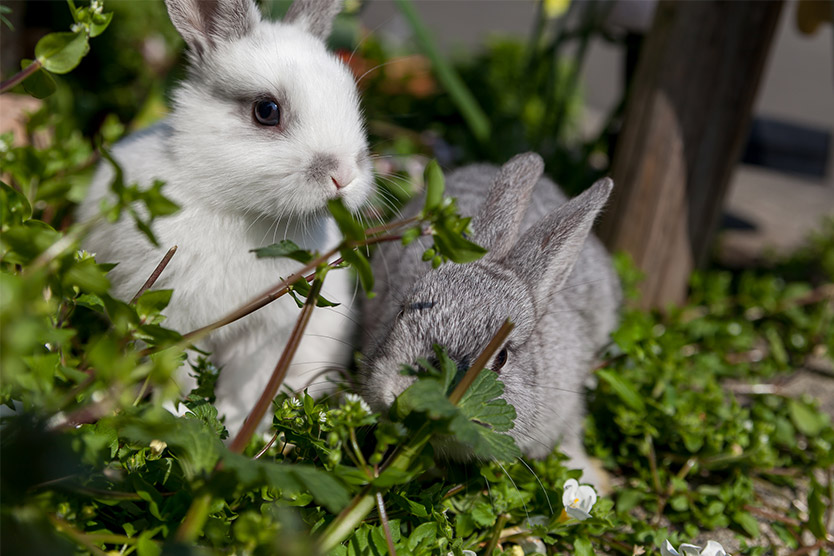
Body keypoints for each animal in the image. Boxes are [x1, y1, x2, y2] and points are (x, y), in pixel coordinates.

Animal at [79, 0, 374, 434]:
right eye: (266, 111)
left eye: (351, 99)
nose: (344, 175)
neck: (239, 210)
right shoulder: (175, 324)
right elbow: (180, 379)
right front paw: (181, 418)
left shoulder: (264, 336)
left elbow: (242, 385)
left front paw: (236, 424)